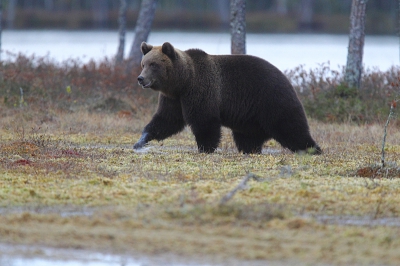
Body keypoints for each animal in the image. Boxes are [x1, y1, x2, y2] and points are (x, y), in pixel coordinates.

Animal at [134, 41, 322, 154]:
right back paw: (251, 150)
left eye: (153, 64)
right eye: (143, 64)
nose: (140, 78)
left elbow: (204, 121)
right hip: (249, 118)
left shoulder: (200, 90)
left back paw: (312, 149)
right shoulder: (173, 98)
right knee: (248, 137)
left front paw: (205, 147)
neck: (183, 81)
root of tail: (287, 79)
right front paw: (141, 140)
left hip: (271, 98)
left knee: (291, 127)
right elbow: (167, 120)